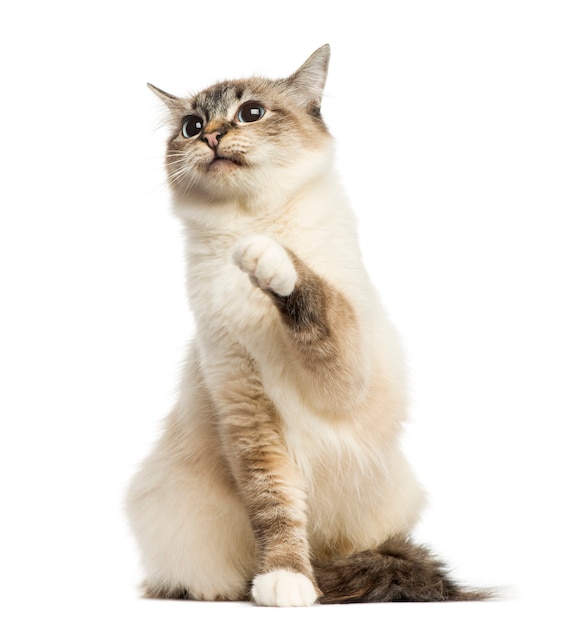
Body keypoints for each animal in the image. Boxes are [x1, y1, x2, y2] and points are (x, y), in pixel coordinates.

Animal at [126, 45, 490, 604]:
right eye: (191, 126)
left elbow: (313, 296)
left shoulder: (342, 374)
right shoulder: (247, 412)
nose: (212, 137)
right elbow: (275, 508)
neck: (248, 219)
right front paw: (285, 578)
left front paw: (264, 257)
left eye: (250, 113)